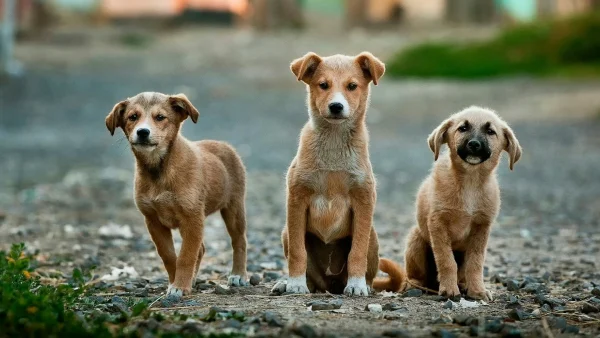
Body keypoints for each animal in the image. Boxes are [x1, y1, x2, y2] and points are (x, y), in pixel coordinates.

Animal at [105, 91, 248, 298]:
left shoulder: (192, 218)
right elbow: (169, 256)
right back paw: (194, 279)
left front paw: (180, 286)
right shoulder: (153, 221)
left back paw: (238, 275)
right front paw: (176, 282)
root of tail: (224, 145)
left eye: (160, 117)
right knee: (201, 249)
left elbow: (186, 256)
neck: (159, 170)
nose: (142, 132)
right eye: (133, 117)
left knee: (239, 241)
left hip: (234, 208)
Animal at [274, 50, 406, 296]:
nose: (336, 106)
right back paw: (288, 283)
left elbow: (357, 252)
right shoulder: (296, 199)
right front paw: (295, 283)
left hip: (373, 236)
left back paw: (363, 284)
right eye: (323, 85)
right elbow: (298, 252)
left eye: (352, 86)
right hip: (286, 232)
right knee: (311, 277)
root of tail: (331, 285)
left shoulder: (363, 200)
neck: (334, 144)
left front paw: (356, 285)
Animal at [400, 107, 524, 300]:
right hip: (416, 239)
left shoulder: (481, 227)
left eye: (490, 131)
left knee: (463, 272)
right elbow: (446, 260)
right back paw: (413, 285)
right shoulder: (438, 223)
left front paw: (477, 290)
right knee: (415, 275)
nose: (474, 144)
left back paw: (464, 285)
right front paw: (449, 289)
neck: (470, 182)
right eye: (462, 128)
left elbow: (476, 263)